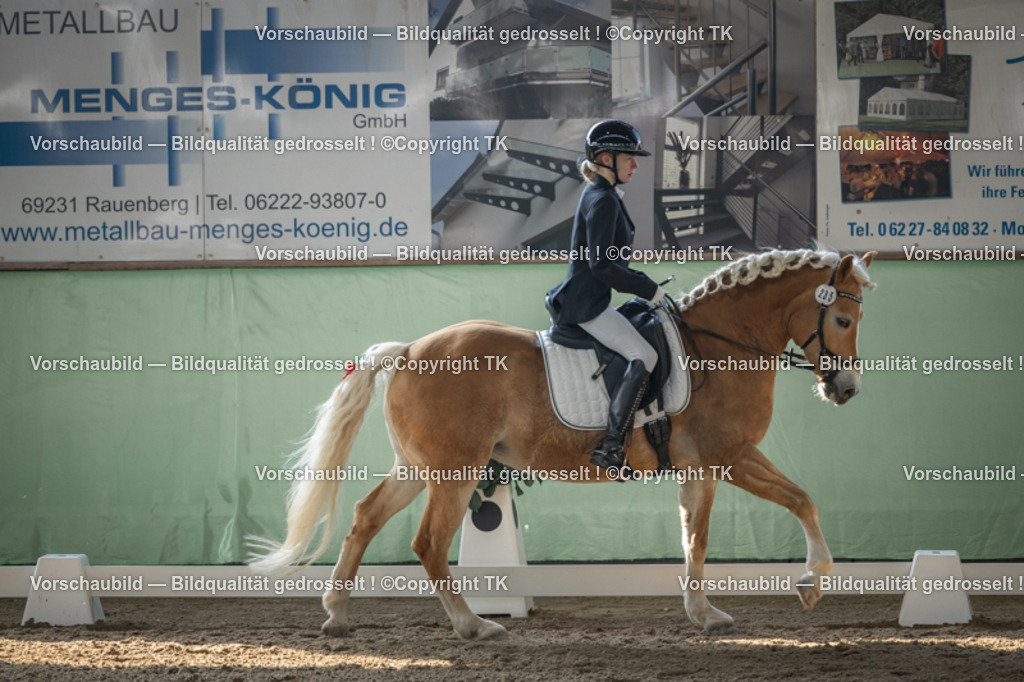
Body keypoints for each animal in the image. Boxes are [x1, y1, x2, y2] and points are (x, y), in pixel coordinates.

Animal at [248, 248, 877, 640]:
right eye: (843, 320)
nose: (846, 389)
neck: (721, 345)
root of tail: (407, 351)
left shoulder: (713, 463)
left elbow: (733, 525)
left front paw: (739, 604)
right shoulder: (726, 458)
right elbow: (756, 518)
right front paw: (782, 593)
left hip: (417, 467)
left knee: (364, 516)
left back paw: (337, 615)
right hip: (455, 472)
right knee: (428, 543)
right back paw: (474, 626)